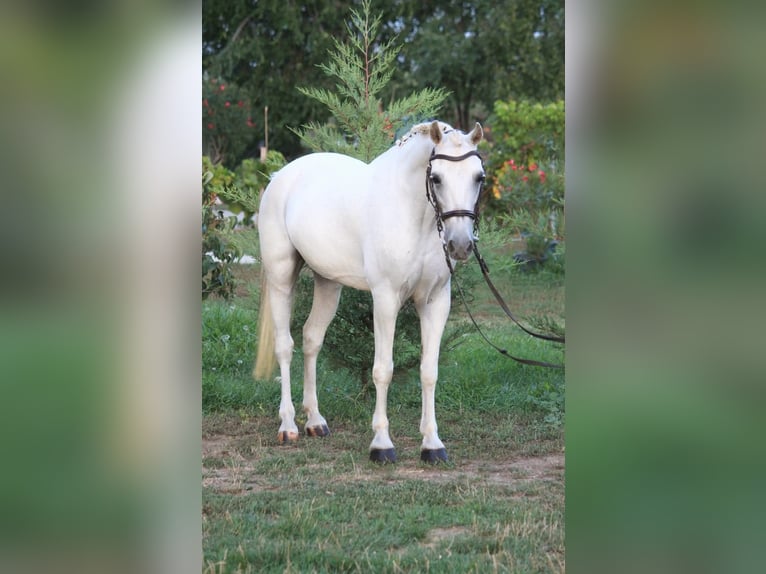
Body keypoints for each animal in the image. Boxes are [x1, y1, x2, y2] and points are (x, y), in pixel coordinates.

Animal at [253, 120, 485, 463]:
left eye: (478, 177)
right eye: (436, 178)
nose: (460, 245)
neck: (412, 214)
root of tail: (278, 177)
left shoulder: (435, 301)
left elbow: (429, 371)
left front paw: (432, 444)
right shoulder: (385, 298)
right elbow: (383, 370)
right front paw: (382, 444)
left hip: (328, 283)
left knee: (311, 339)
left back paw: (315, 421)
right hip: (281, 277)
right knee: (285, 346)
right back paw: (288, 425)